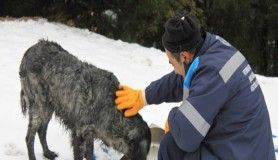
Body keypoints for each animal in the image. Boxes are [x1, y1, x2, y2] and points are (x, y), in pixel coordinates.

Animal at [19, 40, 151, 160]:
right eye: (143, 152)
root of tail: (31, 49)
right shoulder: (79, 133)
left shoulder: (90, 134)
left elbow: (89, 154)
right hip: (39, 105)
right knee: (29, 137)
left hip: (49, 106)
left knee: (42, 131)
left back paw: (47, 153)